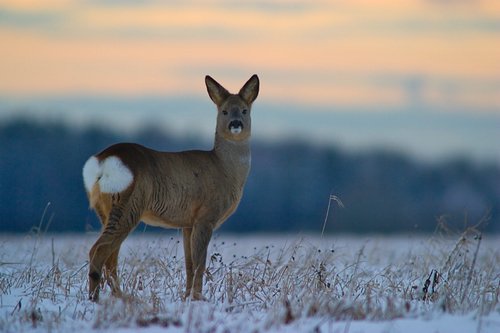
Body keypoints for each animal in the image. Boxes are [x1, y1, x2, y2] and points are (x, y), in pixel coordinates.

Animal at [80, 75, 260, 300]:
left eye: (244, 110)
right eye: (224, 111)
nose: (236, 124)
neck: (225, 169)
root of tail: (102, 162)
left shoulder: (187, 223)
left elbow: (189, 263)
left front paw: (186, 297)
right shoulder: (206, 215)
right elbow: (200, 263)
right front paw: (199, 298)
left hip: (104, 209)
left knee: (109, 255)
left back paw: (121, 296)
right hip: (128, 204)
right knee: (99, 250)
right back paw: (96, 299)